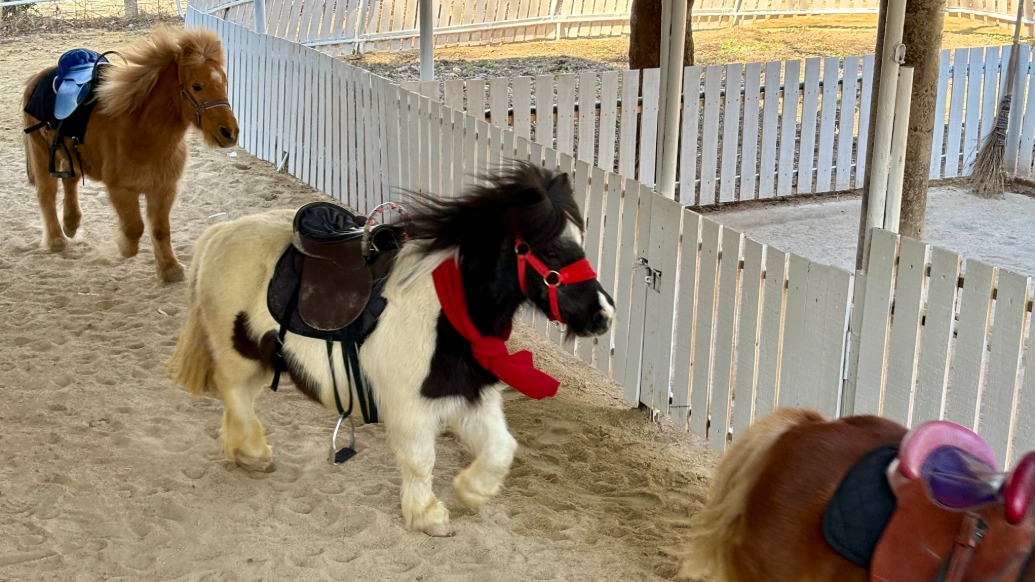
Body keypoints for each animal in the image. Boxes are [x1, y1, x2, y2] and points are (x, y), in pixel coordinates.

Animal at [22, 26, 239, 283]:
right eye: (197, 86)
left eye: (225, 82)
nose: (229, 132)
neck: (143, 132)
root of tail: (38, 78)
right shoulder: (122, 190)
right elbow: (135, 228)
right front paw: (124, 246)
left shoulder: (164, 189)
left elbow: (160, 230)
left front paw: (170, 269)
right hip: (42, 152)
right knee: (47, 194)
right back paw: (56, 239)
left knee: (70, 181)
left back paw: (71, 223)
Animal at [165, 162, 616, 536]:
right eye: (552, 249)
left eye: (581, 242)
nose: (603, 316)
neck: (447, 312)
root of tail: (219, 234)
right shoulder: (410, 408)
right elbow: (420, 461)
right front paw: (428, 515)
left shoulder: (469, 395)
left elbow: (502, 449)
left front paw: (471, 492)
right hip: (237, 353)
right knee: (233, 392)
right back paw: (254, 453)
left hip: (263, 358)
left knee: (237, 398)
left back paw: (240, 450)